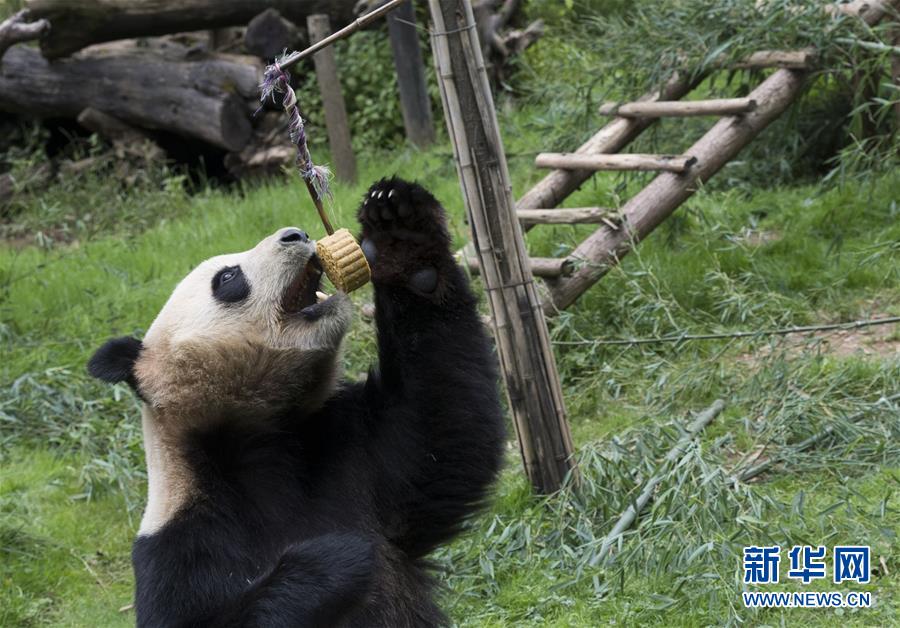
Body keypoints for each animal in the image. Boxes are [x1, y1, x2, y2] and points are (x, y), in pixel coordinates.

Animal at [89, 179, 506, 624]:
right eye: (228, 277)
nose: (296, 234)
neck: (253, 439)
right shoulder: (181, 550)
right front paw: (335, 555)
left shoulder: (348, 455)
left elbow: (443, 423)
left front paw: (400, 232)